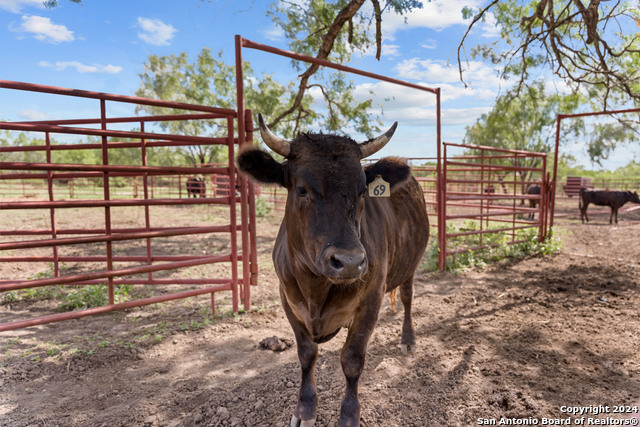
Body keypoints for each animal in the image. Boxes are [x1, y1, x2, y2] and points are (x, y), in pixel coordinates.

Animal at [236, 114, 430, 427]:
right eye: (302, 189)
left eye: (362, 191)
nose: (349, 261)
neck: (316, 288)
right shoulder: (288, 300)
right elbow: (306, 355)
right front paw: (304, 409)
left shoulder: (370, 301)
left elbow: (352, 359)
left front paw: (349, 415)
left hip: (411, 263)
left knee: (407, 297)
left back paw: (408, 340)